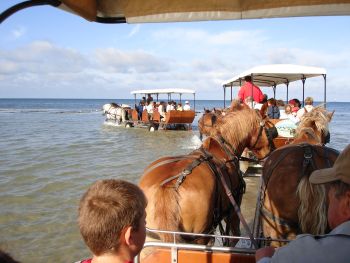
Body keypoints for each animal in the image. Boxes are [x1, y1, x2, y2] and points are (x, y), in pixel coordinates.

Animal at [138, 101, 278, 248]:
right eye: (270, 130)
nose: (272, 151)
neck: (224, 148)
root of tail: (168, 186)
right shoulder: (233, 208)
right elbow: (233, 237)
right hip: (200, 236)